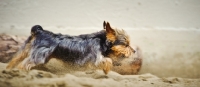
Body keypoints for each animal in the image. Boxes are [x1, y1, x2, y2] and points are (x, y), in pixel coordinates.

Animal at [6, 21, 134, 74]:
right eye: (126, 45)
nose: (134, 51)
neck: (101, 40)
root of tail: (40, 31)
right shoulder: (96, 58)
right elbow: (107, 60)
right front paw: (106, 70)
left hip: (27, 49)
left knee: (15, 59)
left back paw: (9, 70)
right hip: (39, 56)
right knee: (24, 64)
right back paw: (21, 72)